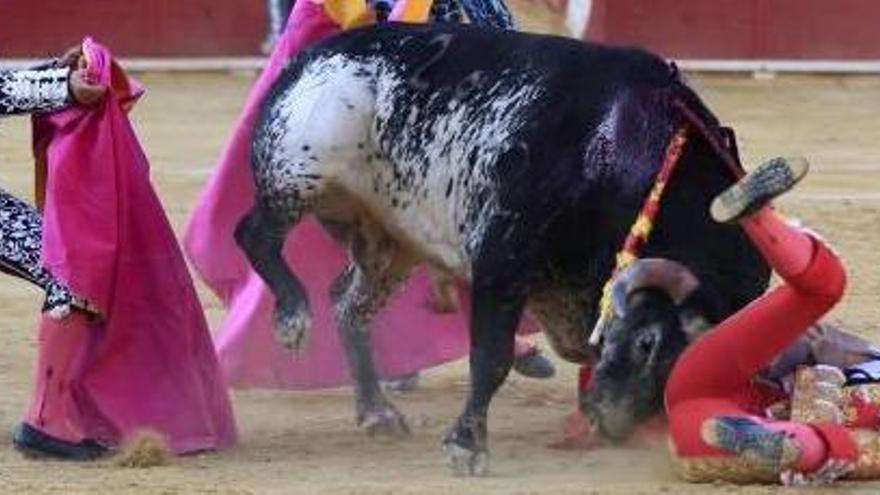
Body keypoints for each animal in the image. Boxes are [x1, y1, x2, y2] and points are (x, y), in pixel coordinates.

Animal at [235, 24, 768, 476]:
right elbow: (490, 357)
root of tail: (309, 56)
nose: (611, 423)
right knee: (254, 235)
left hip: (390, 240)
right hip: (297, 173)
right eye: (646, 343)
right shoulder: (501, 261)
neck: (626, 147)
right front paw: (466, 447)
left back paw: (377, 412)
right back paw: (292, 319)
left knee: (349, 305)